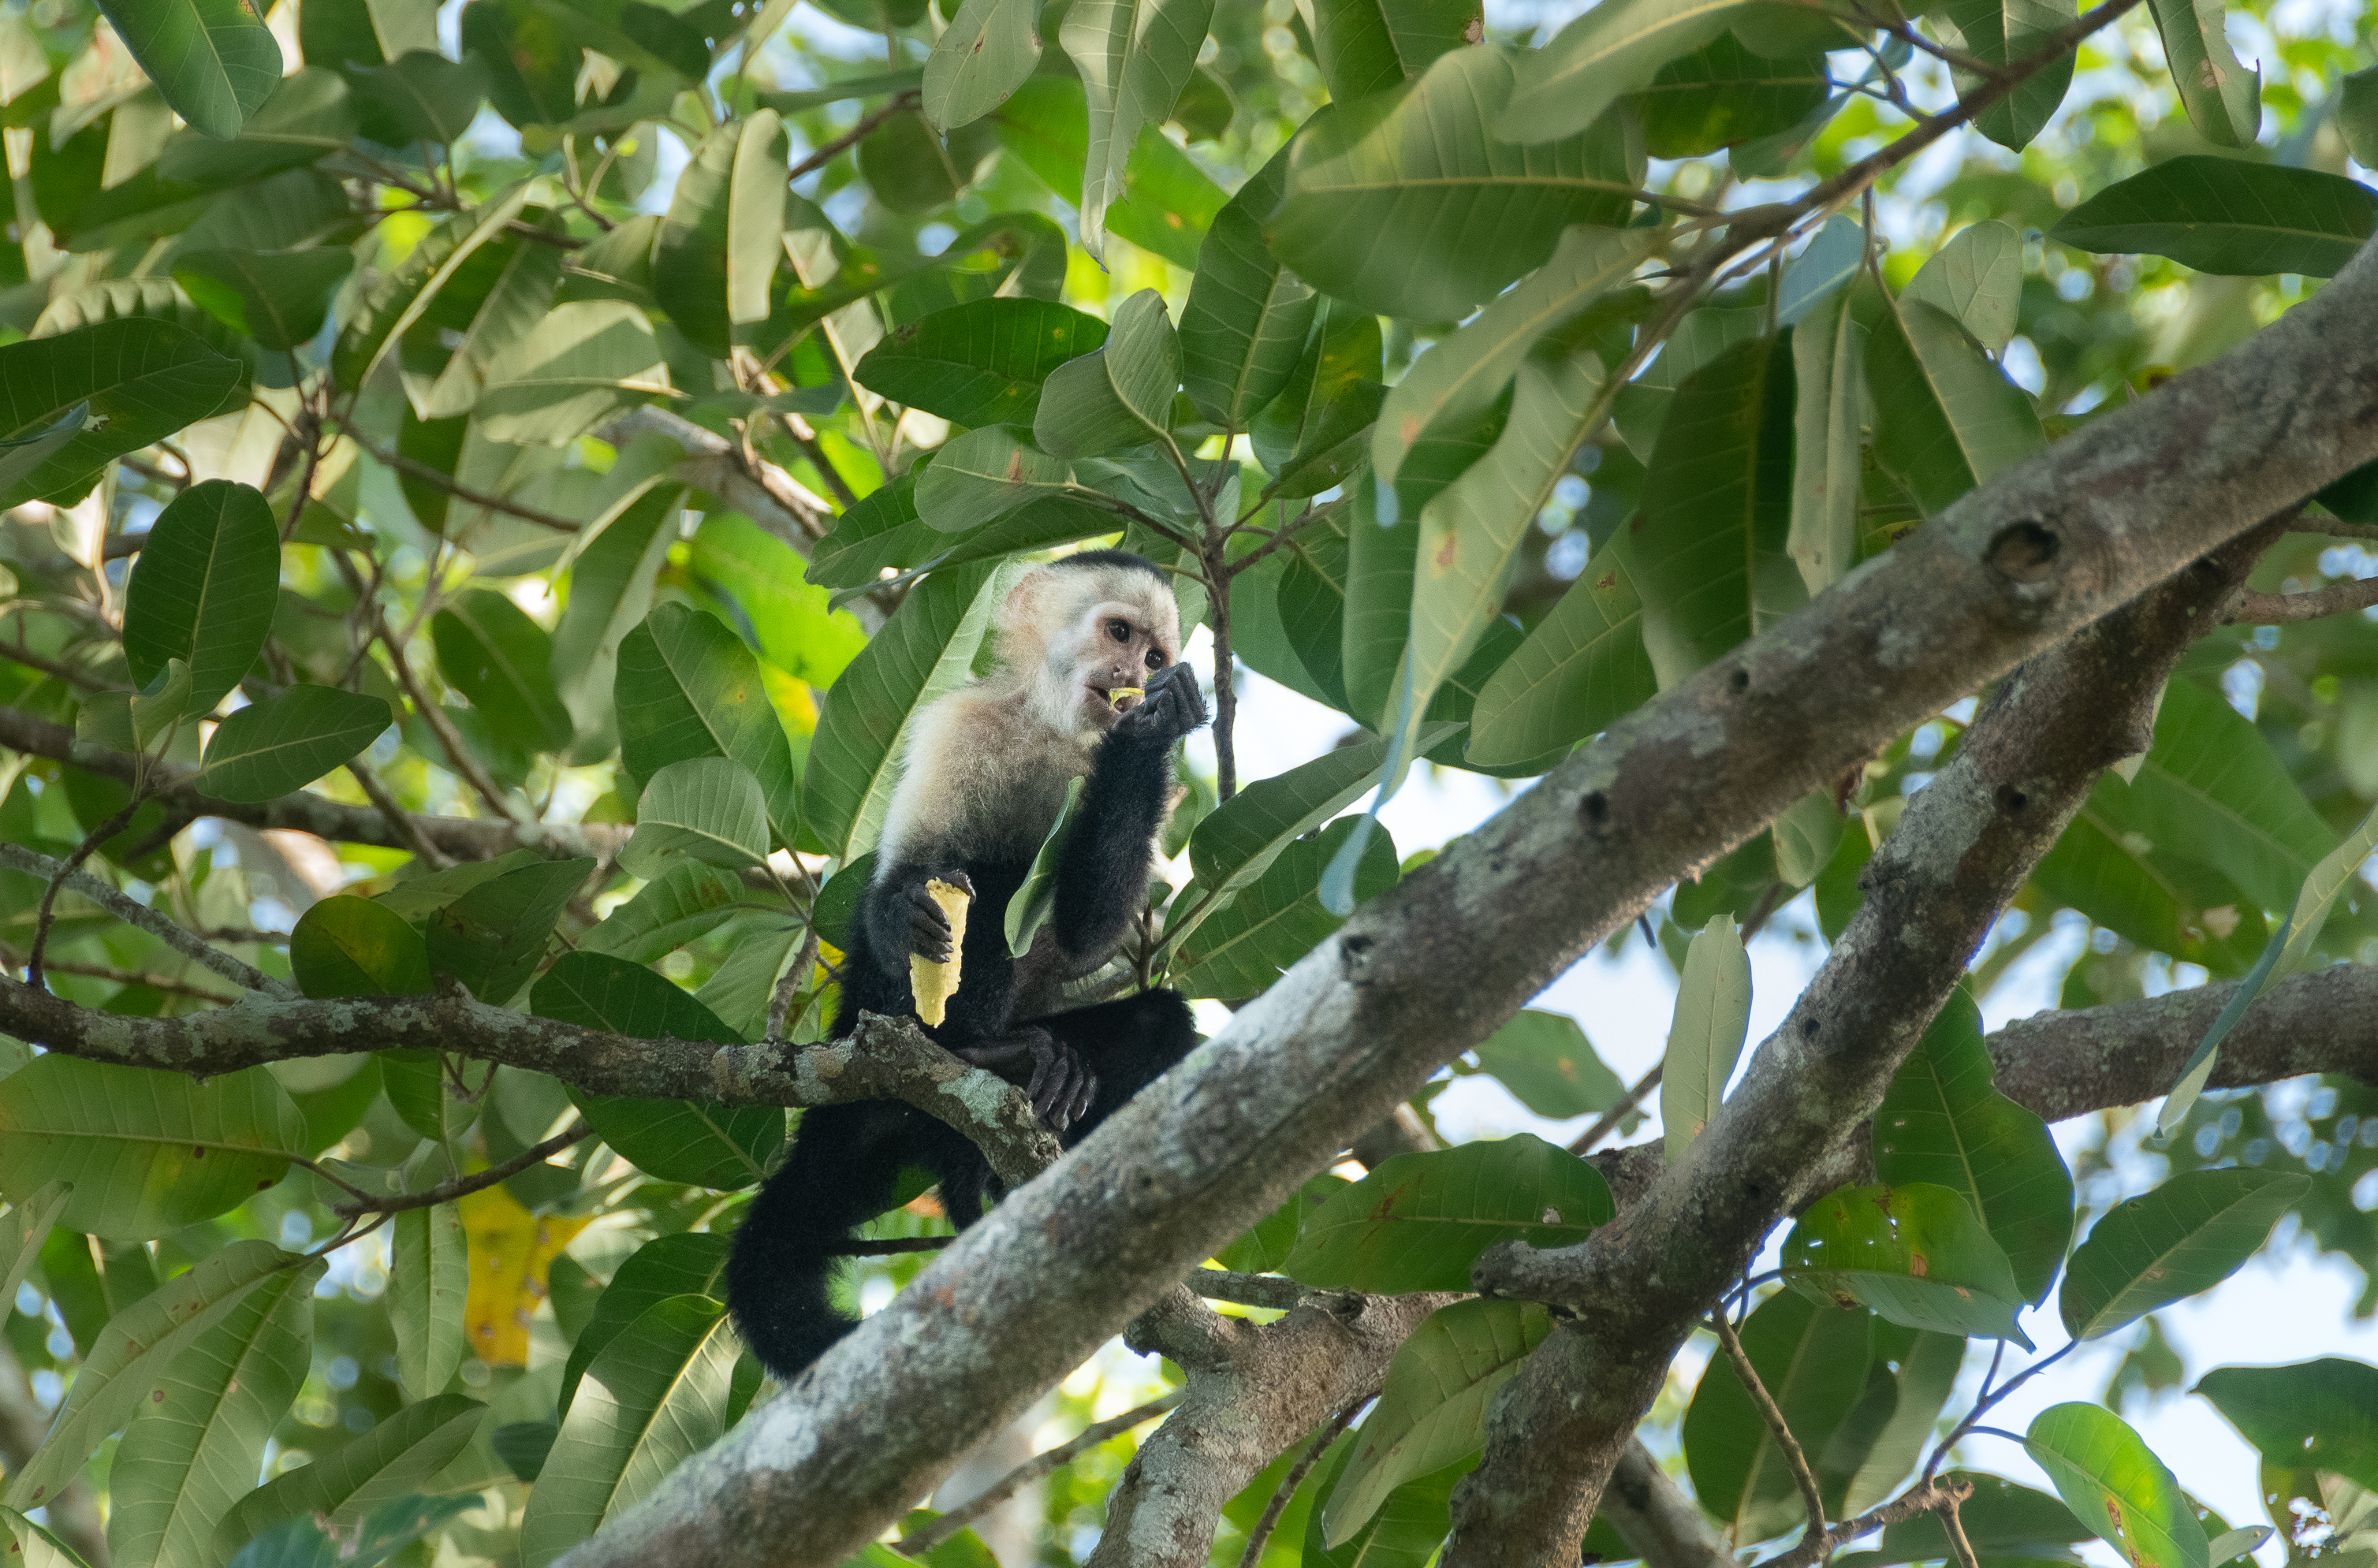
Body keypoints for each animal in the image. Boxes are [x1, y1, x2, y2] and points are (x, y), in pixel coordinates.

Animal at [725, 549, 1208, 1383]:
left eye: (1154, 658)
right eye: (1119, 633)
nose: (1131, 676)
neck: (1053, 731)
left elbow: (1087, 930)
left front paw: (1156, 726)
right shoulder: (961, 725)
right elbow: (914, 870)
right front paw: (898, 912)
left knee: (1157, 1023)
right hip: (877, 1017)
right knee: (985, 883)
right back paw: (983, 1051)